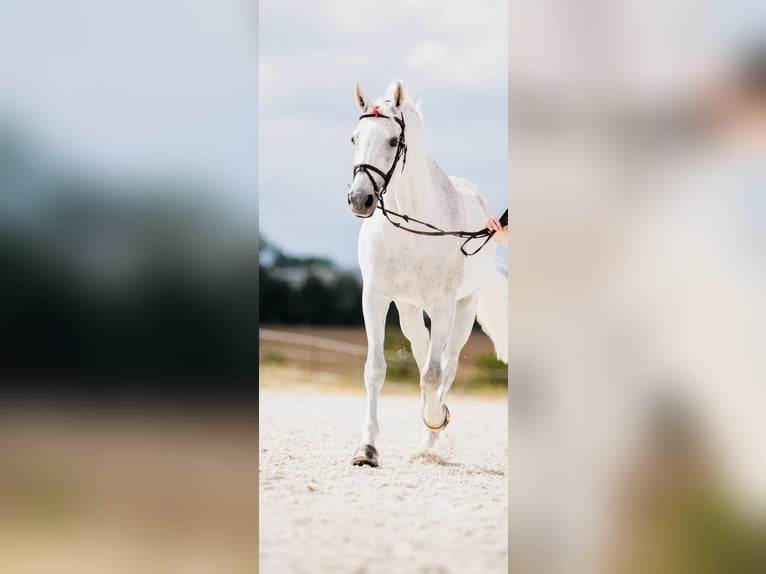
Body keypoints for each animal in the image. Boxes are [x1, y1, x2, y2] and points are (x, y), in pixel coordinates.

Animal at [348, 81, 510, 468]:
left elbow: (435, 374)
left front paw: (436, 421)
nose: (360, 199)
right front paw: (367, 449)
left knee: (445, 365)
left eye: (393, 141)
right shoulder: (375, 296)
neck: (413, 226)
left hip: (464, 308)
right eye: (354, 138)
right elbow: (375, 369)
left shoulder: (443, 305)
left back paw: (430, 439)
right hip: (408, 309)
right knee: (422, 353)